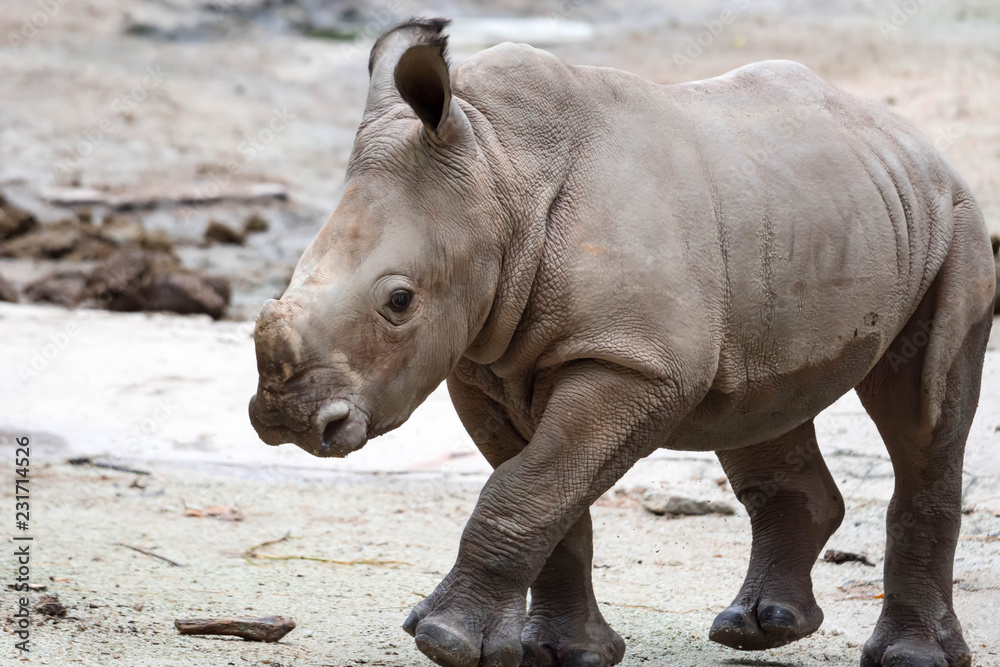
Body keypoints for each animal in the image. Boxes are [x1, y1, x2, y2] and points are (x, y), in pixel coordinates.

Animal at [248, 18, 993, 667]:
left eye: (399, 301)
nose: (288, 420)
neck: (498, 176)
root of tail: (919, 143)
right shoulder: (483, 365)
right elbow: (547, 496)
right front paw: (561, 652)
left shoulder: (633, 363)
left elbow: (525, 489)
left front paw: (444, 640)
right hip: (797, 220)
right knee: (758, 402)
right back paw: (760, 628)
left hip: (954, 224)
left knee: (922, 413)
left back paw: (909, 656)